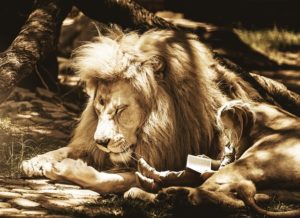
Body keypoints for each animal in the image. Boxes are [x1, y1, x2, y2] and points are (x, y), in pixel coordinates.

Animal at [21, 26, 300, 194]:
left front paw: (67, 169)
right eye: (99, 106)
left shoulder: (177, 163)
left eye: (121, 110)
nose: (101, 141)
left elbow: (111, 179)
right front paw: (35, 161)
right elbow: (67, 149)